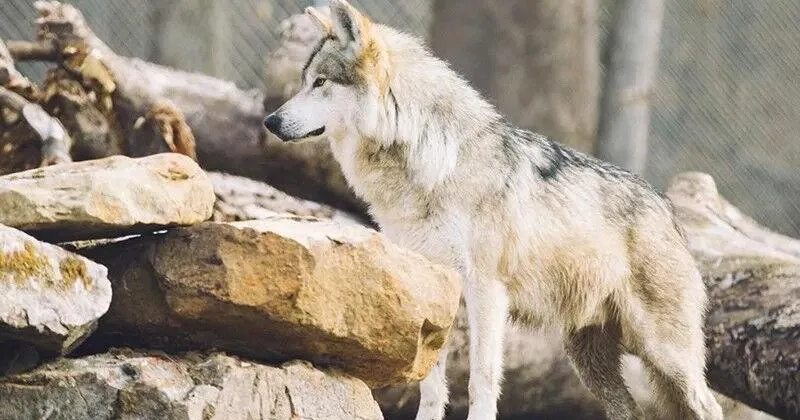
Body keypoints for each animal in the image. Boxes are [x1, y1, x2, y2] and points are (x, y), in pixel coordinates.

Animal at [264, 1, 723, 419]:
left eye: (320, 82)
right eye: (303, 82)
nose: (270, 121)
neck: (431, 161)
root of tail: (669, 210)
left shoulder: (485, 289)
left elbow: (480, 379)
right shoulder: (435, 289)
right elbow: (430, 383)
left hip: (664, 354)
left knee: (710, 405)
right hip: (589, 360)